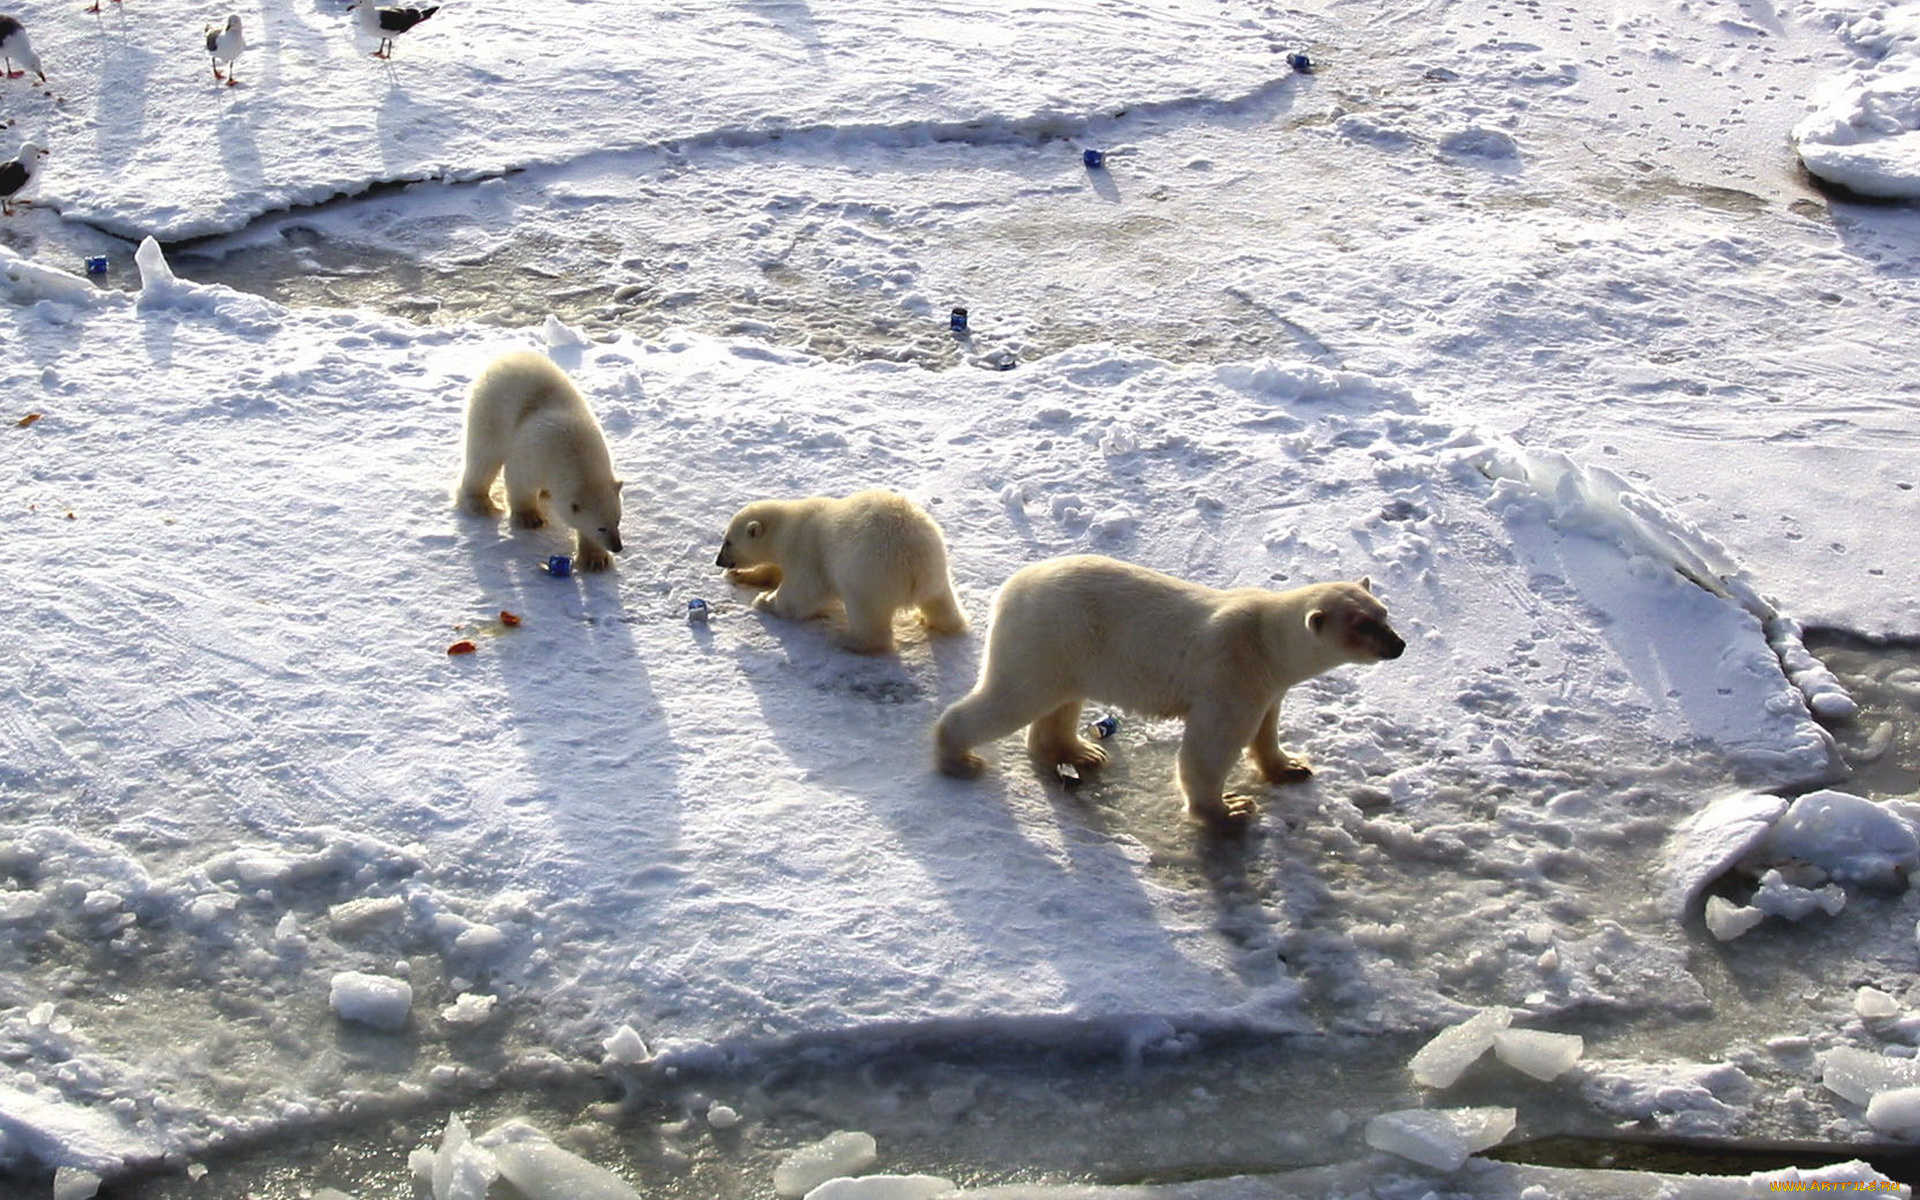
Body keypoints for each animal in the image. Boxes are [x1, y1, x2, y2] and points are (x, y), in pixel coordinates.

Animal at [457, 350, 625, 571]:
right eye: (601, 528)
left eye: (618, 521)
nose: (618, 547)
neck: (574, 452)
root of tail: (505, 356)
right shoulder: (534, 454)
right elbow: (520, 481)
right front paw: (530, 518)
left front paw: (595, 559)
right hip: (491, 409)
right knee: (484, 455)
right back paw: (479, 503)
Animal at [714, 489, 968, 654]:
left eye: (728, 542)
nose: (718, 561)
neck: (787, 527)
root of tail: (917, 562)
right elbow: (774, 569)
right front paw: (742, 576)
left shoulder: (806, 549)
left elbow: (801, 592)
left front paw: (765, 600)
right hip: (936, 570)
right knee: (941, 601)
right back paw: (943, 621)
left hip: (868, 573)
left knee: (868, 615)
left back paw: (845, 639)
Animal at [932, 554, 1405, 828]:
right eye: (1362, 625)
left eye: (1384, 613)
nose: (1398, 645)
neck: (1266, 640)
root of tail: (1010, 589)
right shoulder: (1231, 674)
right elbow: (1211, 746)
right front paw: (1229, 809)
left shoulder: (1268, 684)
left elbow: (1267, 728)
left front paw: (1292, 767)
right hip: (1048, 635)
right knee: (1014, 697)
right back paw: (958, 758)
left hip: (1069, 650)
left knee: (1060, 701)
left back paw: (1082, 752)